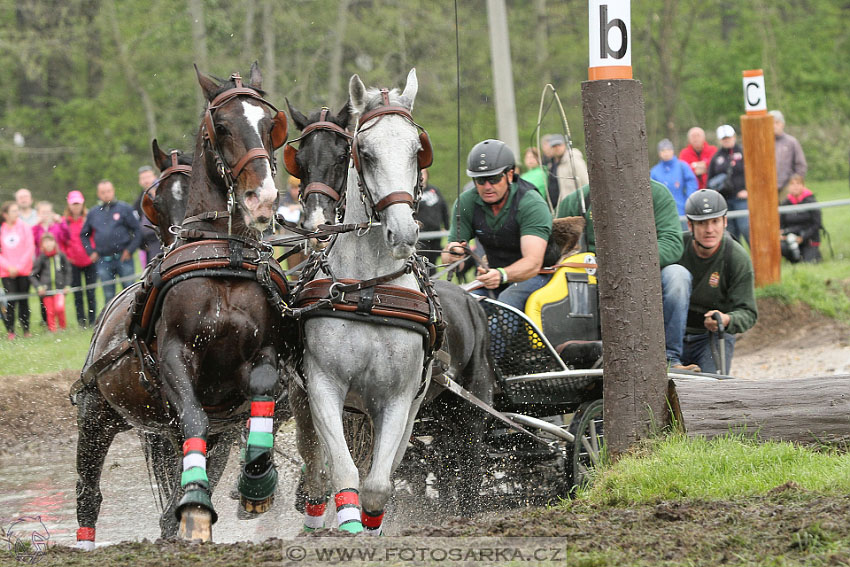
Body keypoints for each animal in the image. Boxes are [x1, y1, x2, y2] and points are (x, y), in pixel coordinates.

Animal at [76, 63, 294, 552]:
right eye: (223, 126)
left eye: (270, 125)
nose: (264, 198)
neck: (223, 255)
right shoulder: (176, 355)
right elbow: (193, 413)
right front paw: (196, 507)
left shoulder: (261, 357)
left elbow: (263, 393)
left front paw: (256, 481)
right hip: (96, 414)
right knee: (88, 491)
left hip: (201, 430)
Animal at [292, 69, 430, 536]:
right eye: (365, 153)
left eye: (417, 150)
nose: (403, 232)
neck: (369, 289)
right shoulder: (322, 386)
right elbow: (343, 471)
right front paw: (347, 527)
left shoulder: (399, 398)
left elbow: (377, 484)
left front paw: (369, 525)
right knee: (316, 470)